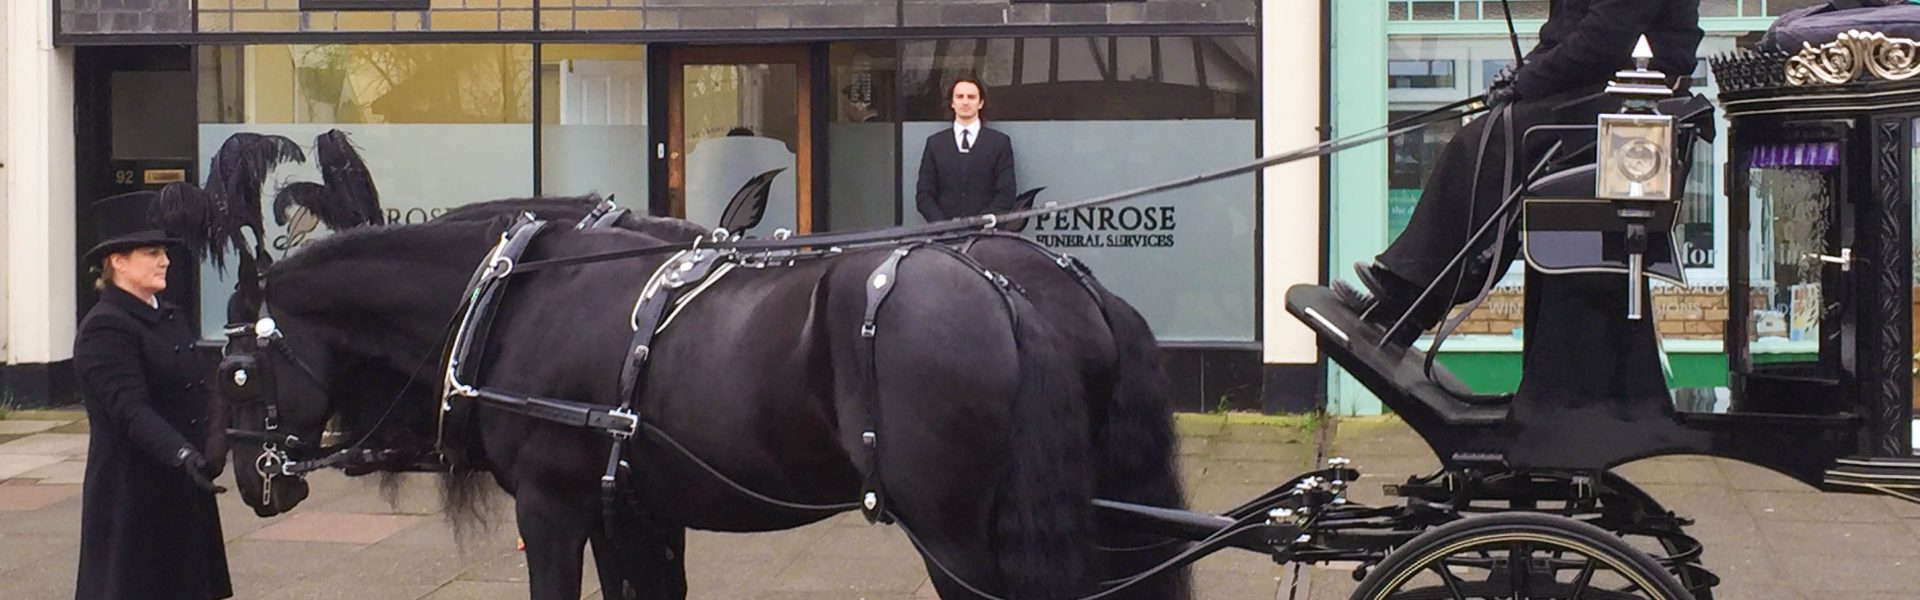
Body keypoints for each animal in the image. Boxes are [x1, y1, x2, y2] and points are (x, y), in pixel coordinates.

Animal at [216, 216, 1167, 600]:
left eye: (234, 371)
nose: (250, 484)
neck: (517, 298)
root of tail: (1010, 292)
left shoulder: (552, 509)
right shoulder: (630, 511)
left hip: (955, 536)